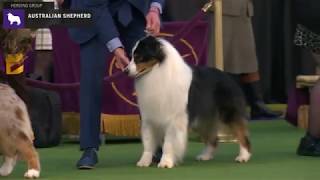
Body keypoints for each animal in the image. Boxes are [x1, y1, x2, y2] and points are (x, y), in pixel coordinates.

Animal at [127, 35, 252, 168]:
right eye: (131, 56)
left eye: (138, 57)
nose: (125, 70)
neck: (157, 71)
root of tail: (229, 77)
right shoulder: (149, 118)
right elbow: (148, 142)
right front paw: (144, 162)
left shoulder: (174, 119)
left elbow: (168, 143)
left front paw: (165, 162)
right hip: (202, 118)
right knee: (212, 139)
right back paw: (205, 156)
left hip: (228, 114)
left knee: (242, 135)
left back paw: (243, 156)